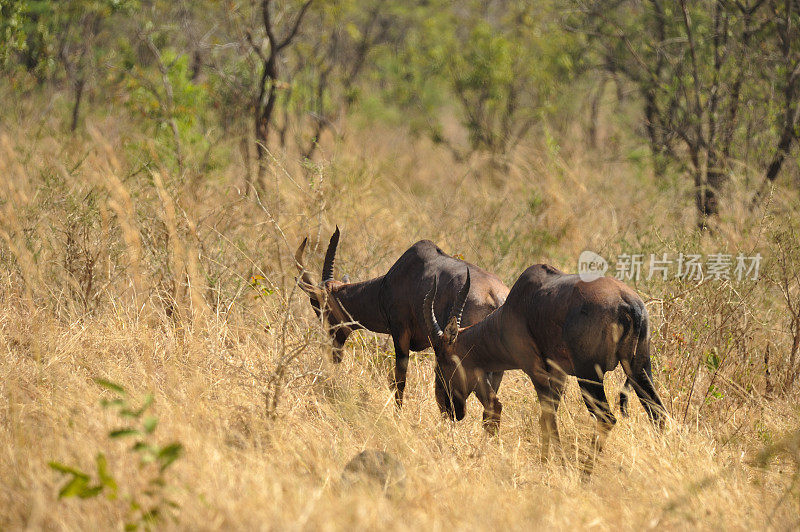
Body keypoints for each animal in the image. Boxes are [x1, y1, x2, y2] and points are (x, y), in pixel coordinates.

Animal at [292, 225, 506, 420]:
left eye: (320, 307)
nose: (333, 354)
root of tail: (496, 298)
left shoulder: (401, 334)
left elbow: (399, 380)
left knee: (492, 403)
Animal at [424, 264, 668, 476]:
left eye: (444, 361)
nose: (449, 410)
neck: (518, 304)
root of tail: (629, 305)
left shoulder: (535, 370)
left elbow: (548, 417)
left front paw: (557, 464)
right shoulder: (558, 373)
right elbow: (546, 416)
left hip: (588, 375)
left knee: (606, 418)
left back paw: (584, 476)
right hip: (639, 368)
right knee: (658, 412)